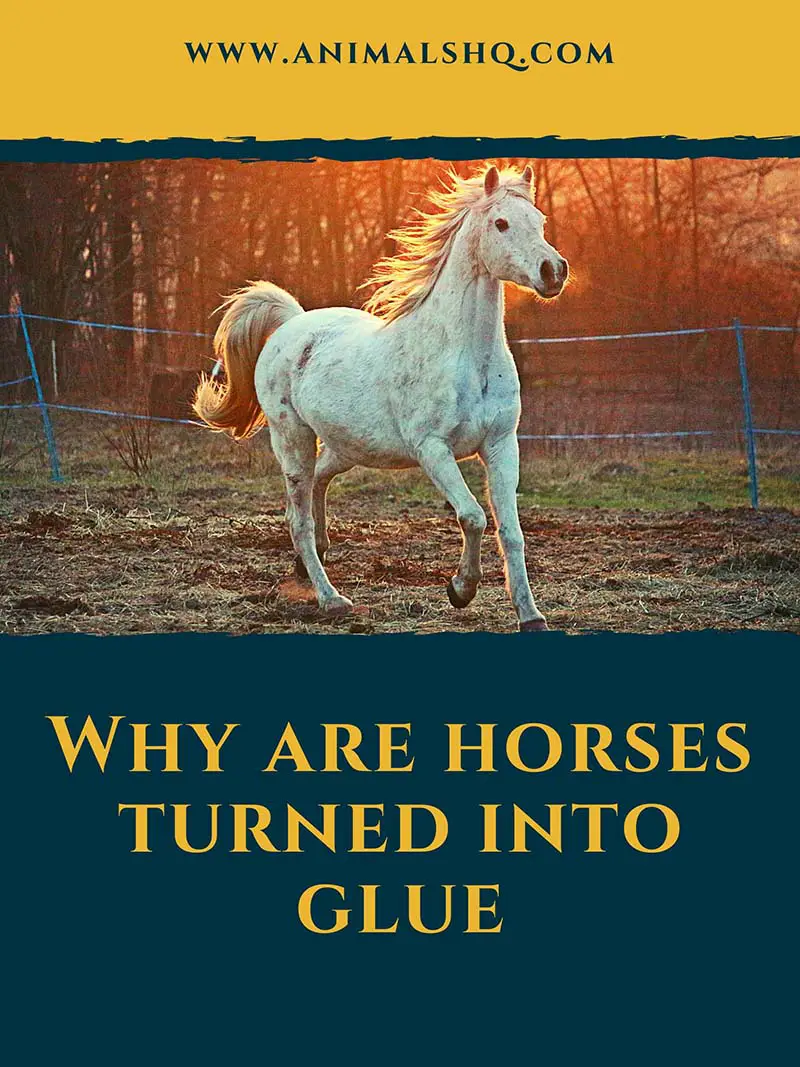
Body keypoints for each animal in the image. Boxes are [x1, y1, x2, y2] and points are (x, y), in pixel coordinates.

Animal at [193, 164, 569, 631]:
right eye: (501, 223)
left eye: (540, 221)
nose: (554, 271)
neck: (465, 355)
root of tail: (292, 324)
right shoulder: (433, 449)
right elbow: (473, 516)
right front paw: (460, 590)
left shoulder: (501, 445)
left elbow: (511, 532)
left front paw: (531, 615)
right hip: (292, 440)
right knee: (297, 518)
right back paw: (332, 599)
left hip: (348, 446)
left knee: (319, 483)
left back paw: (310, 563)